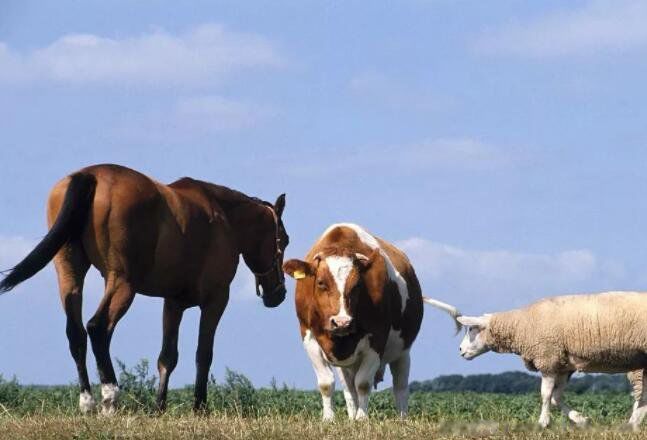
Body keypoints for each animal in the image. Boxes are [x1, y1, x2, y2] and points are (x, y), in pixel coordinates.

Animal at [0, 164, 289, 414]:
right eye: (284, 240)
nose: (279, 294)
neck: (223, 217)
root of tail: (90, 175)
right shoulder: (216, 300)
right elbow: (203, 354)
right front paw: (199, 407)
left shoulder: (173, 303)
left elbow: (167, 357)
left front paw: (159, 407)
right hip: (122, 282)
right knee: (98, 327)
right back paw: (110, 397)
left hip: (70, 274)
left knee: (76, 332)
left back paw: (88, 402)